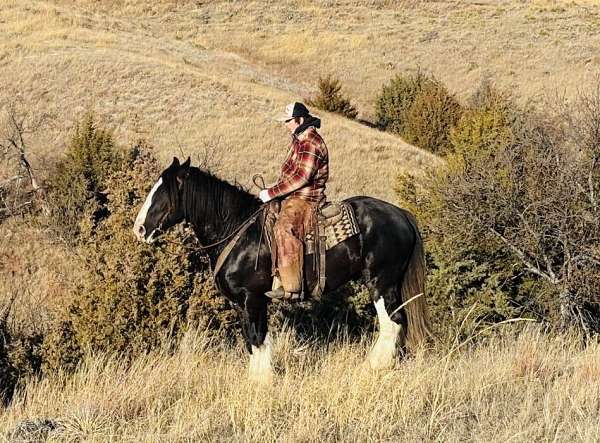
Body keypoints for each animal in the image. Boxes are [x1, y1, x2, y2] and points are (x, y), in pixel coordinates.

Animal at [134, 158, 428, 384]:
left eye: (163, 192)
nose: (139, 229)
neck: (238, 230)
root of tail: (401, 214)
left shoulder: (253, 298)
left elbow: (258, 338)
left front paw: (263, 382)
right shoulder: (242, 303)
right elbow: (251, 340)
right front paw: (255, 380)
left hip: (381, 282)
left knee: (392, 322)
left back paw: (373, 367)